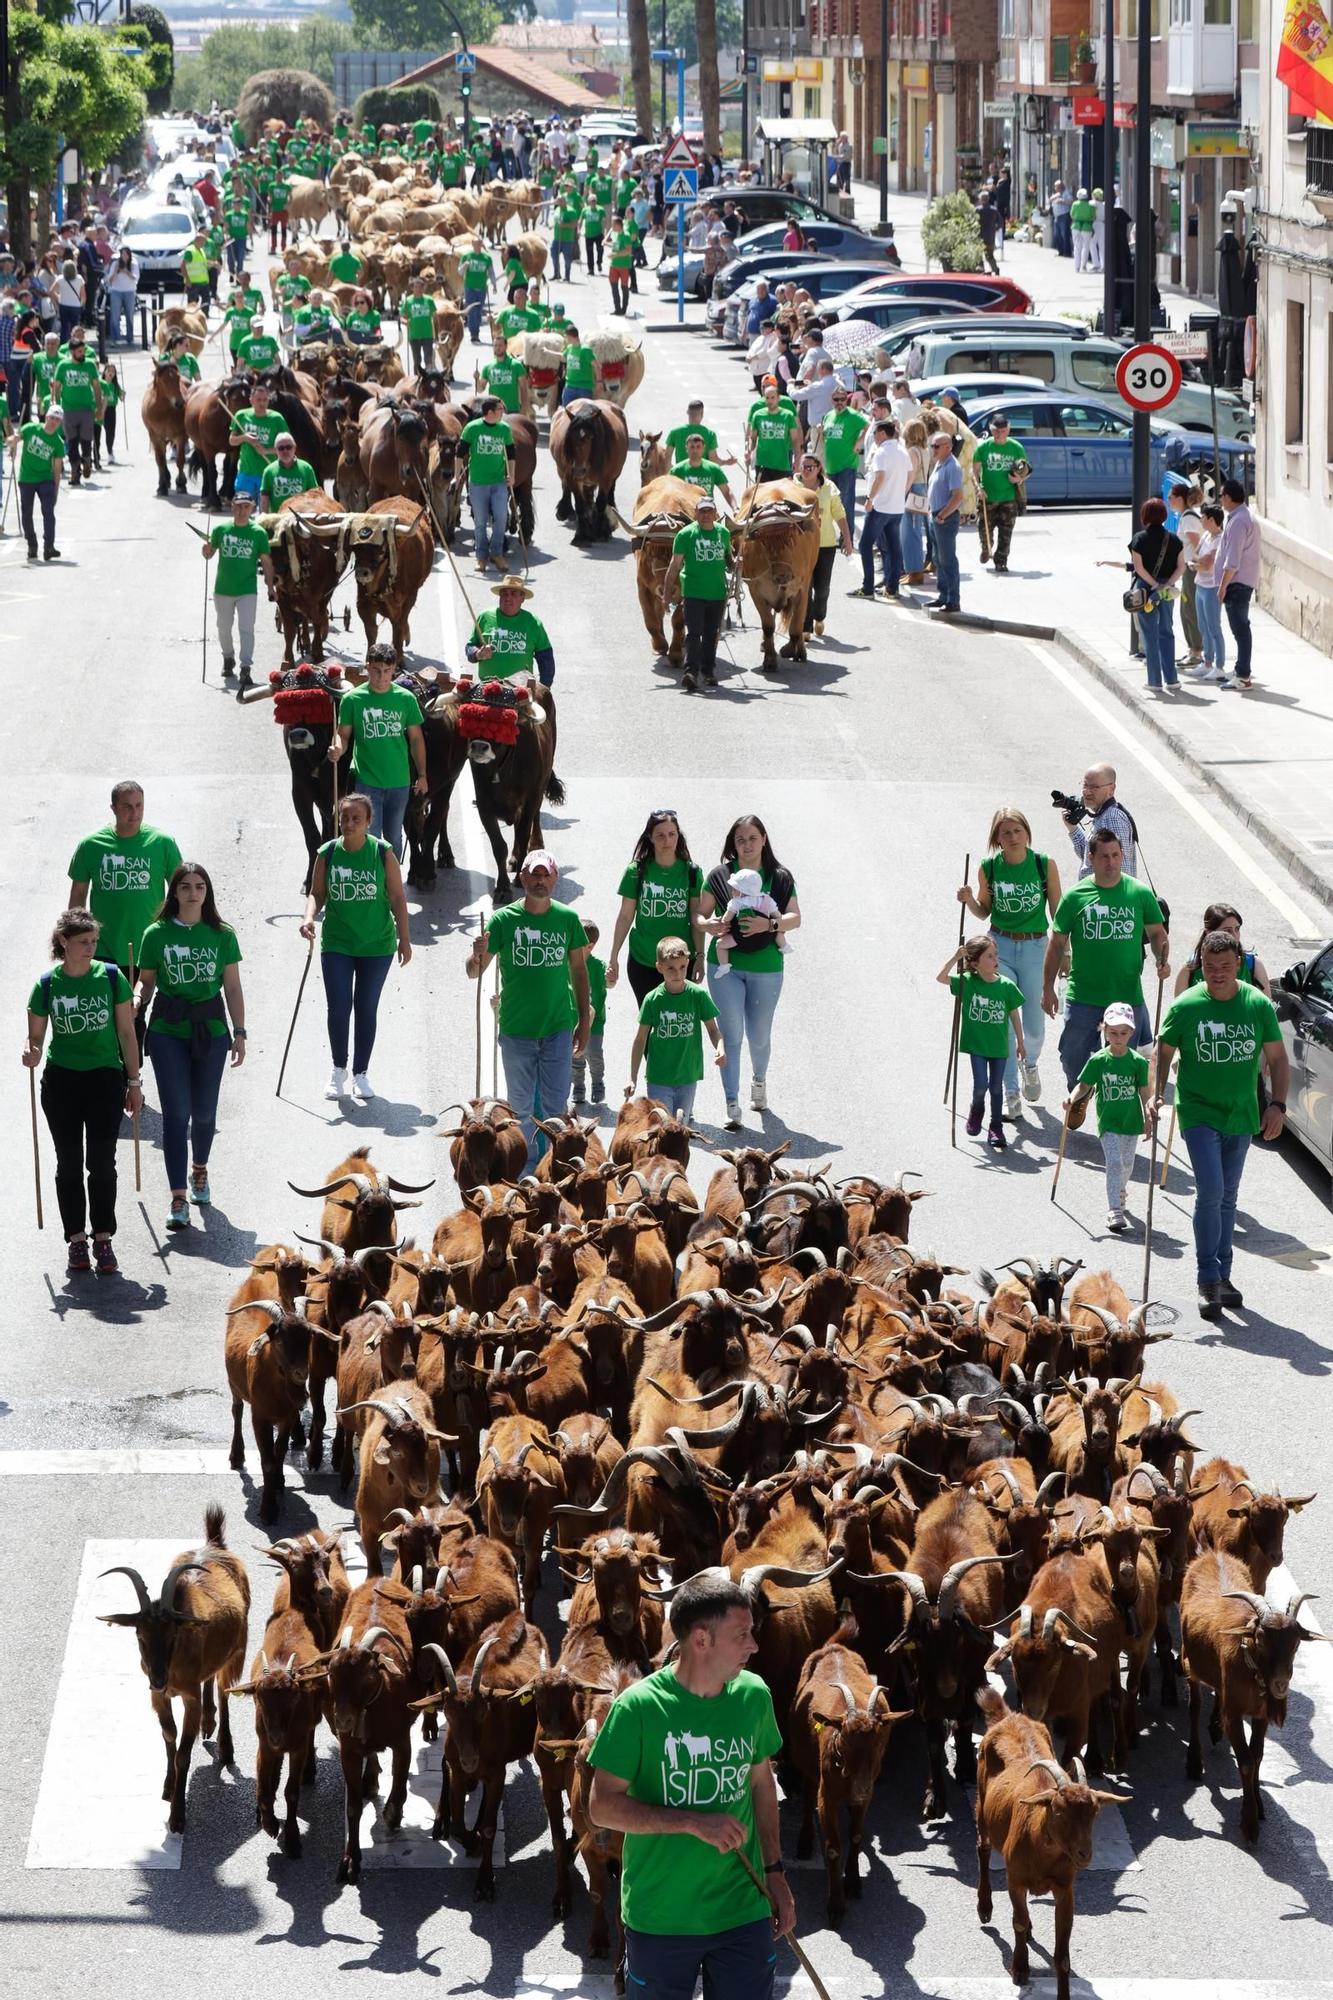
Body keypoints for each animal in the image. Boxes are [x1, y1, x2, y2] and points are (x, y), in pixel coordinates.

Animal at [141, 360, 189, 500]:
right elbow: (160, 460)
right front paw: (162, 487)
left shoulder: (180, 435)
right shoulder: (155, 436)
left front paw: (181, 484)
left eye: (178, 377)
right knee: (160, 459)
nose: (180, 403)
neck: (164, 410)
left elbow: (180, 460)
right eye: (164, 380)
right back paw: (165, 480)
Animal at [348, 494, 430, 664]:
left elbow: (398, 627)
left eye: (381, 550)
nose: (362, 573)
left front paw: (398, 658)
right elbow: (371, 631)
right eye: (355, 549)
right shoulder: (363, 604)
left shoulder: (407, 601)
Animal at [548, 400, 632, 548]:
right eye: (570, 437)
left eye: (590, 437)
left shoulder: (605, 479)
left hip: (614, 474)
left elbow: (601, 503)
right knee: (571, 490)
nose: (578, 470)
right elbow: (580, 506)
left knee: (609, 494)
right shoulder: (573, 479)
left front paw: (600, 533)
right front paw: (581, 536)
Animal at [728, 476, 820, 672]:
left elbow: (796, 626)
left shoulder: (802, 588)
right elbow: (768, 625)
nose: (782, 576)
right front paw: (770, 659)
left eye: (792, 537)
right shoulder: (756, 590)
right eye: (763, 542)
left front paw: (792, 650)